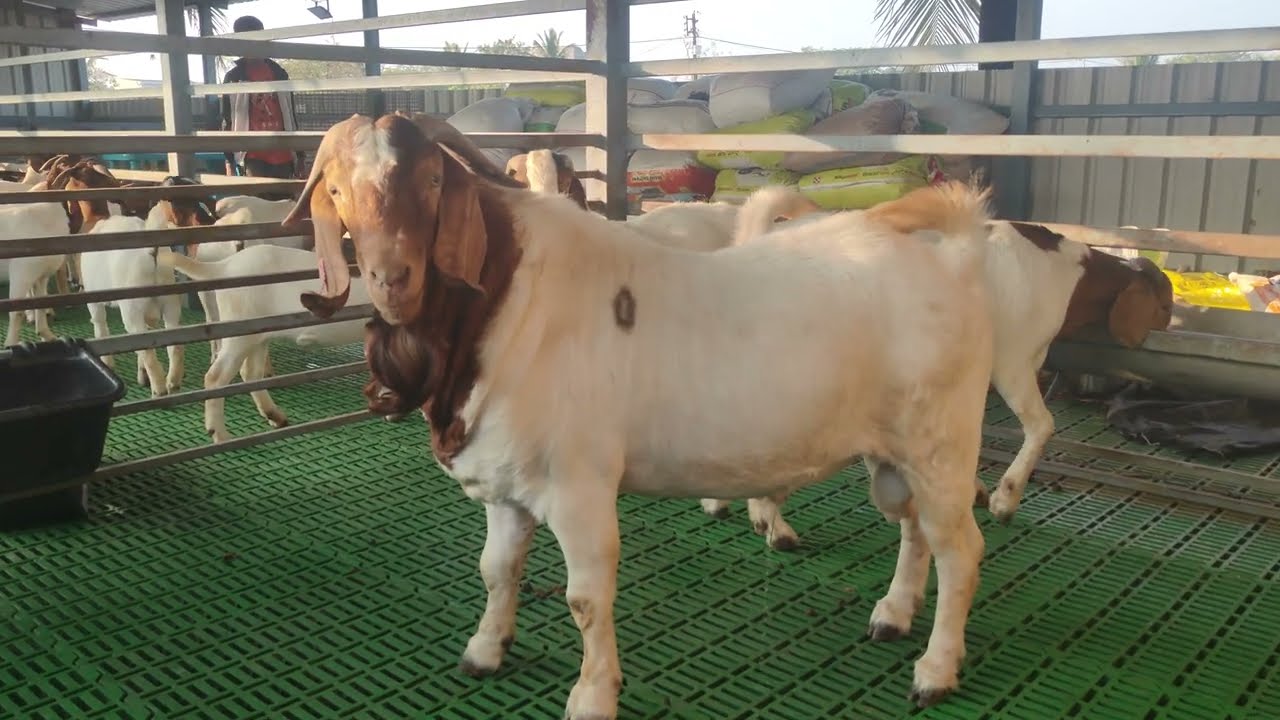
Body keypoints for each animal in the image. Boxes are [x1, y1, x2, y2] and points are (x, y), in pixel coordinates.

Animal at [157, 243, 371, 443]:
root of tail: (225, 267)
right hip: (238, 329)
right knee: (215, 377)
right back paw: (222, 436)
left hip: (259, 336)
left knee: (251, 374)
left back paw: (277, 418)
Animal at [281, 112, 996, 715]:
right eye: (338, 190)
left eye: (432, 179)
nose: (391, 278)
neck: (509, 303)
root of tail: (953, 252)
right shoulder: (507, 487)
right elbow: (497, 570)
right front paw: (486, 650)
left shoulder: (580, 487)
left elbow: (586, 599)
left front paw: (593, 695)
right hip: (897, 450)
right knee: (916, 530)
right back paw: (893, 614)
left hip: (943, 444)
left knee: (961, 548)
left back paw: (936, 669)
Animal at [703, 186, 1175, 550]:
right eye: (1167, 305)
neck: (1066, 272)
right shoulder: (1013, 359)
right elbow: (1042, 425)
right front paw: (1004, 499)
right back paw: (773, 524)